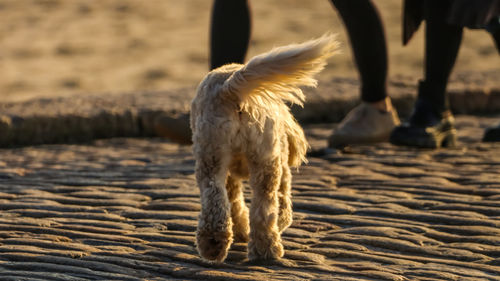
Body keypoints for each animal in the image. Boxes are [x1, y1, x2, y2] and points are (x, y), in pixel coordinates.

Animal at [189, 34, 338, 262]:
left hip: (212, 154)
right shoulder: (282, 167)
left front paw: (241, 231)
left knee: (215, 197)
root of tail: (228, 88)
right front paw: (281, 221)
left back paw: (216, 244)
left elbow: (234, 202)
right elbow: (282, 200)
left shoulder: (231, 173)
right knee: (265, 205)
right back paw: (266, 249)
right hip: (266, 161)